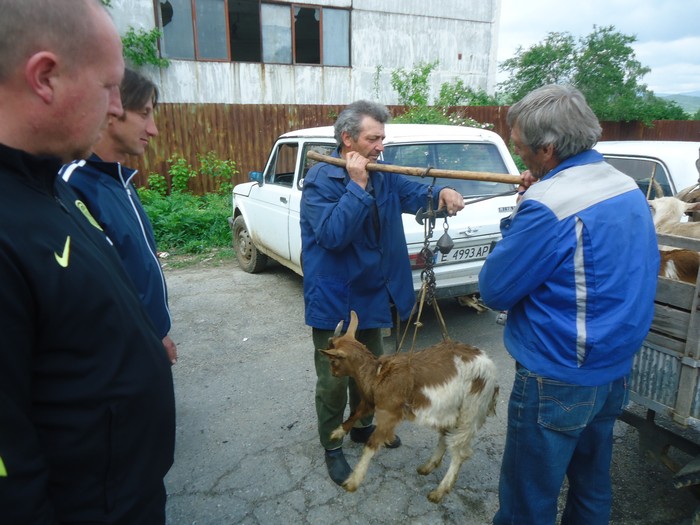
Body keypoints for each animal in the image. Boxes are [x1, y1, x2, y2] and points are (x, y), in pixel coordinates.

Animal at [322, 310, 498, 502]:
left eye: (333, 361)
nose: (332, 373)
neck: (376, 374)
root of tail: (489, 364)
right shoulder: (371, 400)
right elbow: (356, 413)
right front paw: (337, 432)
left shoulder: (389, 413)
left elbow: (371, 443)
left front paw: (353, 481)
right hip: (451, 409)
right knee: (445, 436)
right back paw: (428, 466)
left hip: (472, 408)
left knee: (459, 451)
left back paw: (439, 491)